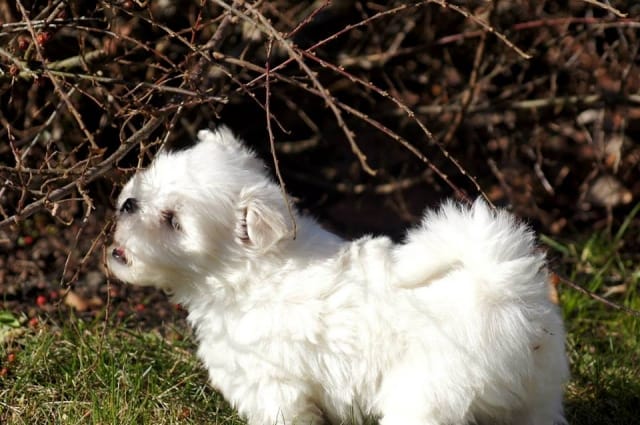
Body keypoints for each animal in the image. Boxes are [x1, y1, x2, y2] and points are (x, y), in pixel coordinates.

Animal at [109, 126, 568, 424]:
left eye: (173, 221)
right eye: (148, 182)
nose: (128, 203)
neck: (249, 273)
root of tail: (497, 287)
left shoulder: (274, 386)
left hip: (426, 396)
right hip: (537, 396)